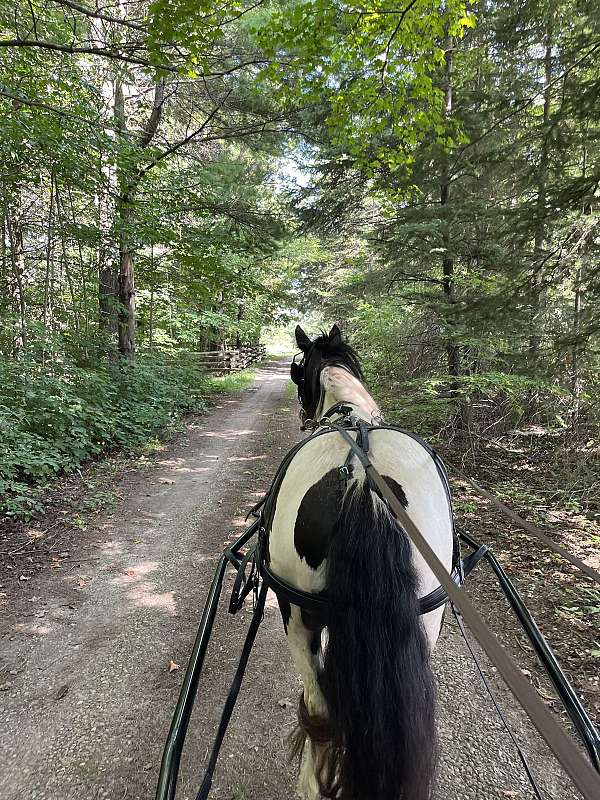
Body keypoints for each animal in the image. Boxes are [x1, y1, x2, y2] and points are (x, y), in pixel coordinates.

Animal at [264, 324, 452, 800]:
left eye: (298, 375)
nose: (303, 416)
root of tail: (364, 485)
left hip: (296, 615)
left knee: (319, 712)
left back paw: (311, 784)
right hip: (425, 621)